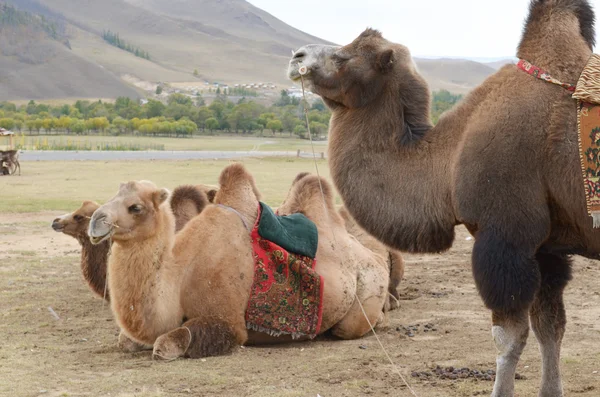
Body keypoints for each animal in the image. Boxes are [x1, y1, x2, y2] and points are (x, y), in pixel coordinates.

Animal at [288, 1, 596, 394]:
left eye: (346, 56)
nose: (296, 56)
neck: (449, 160)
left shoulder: (506, 234)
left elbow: (508, 337)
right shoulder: (546, 246)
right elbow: (550, 327)